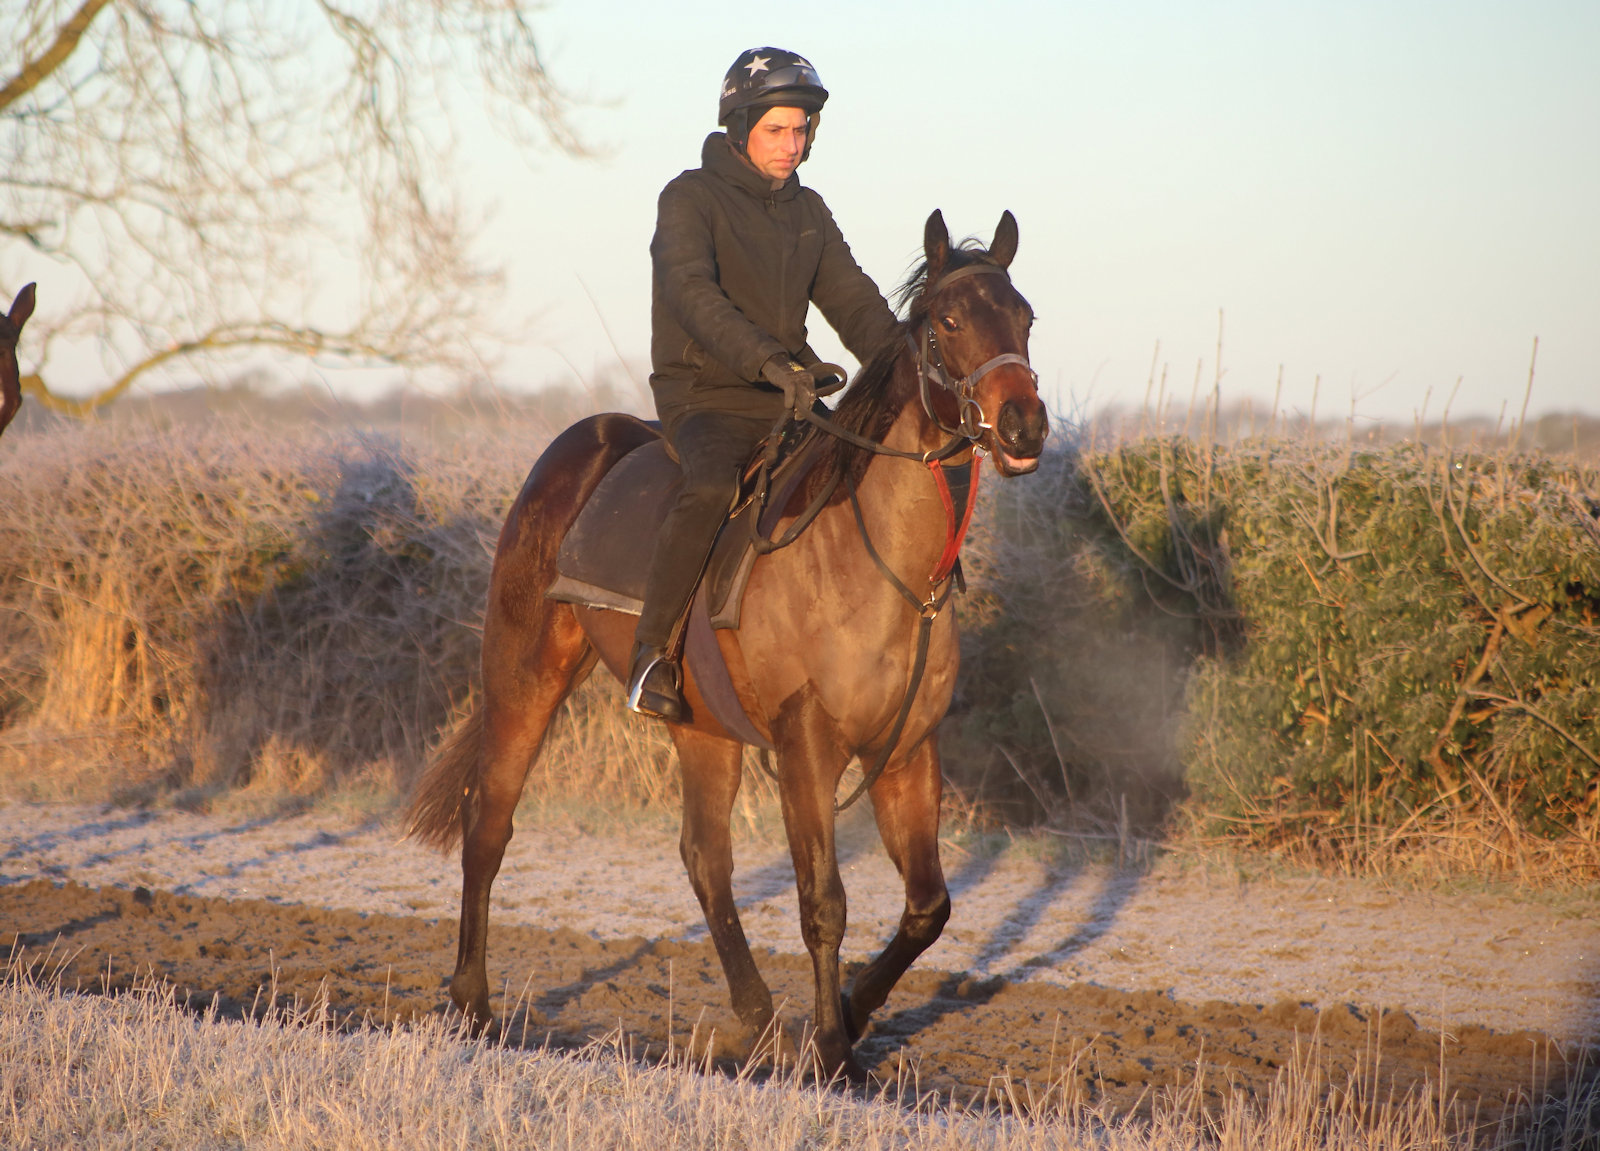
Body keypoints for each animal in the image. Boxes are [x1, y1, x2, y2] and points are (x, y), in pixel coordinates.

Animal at [406, 209, 1048, 1082]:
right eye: (948, 322)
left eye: (1024, 318)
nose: (1024, 426)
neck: (873, 561)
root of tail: (578, 447)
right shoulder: (807, 745)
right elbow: (823, 902)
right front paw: (834, 1053)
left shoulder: (908, 751)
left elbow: (928, 907)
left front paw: (849, 1015)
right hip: (523, 678)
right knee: (489, 822)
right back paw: (472, 1003)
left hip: (701, 727)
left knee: (704, 859)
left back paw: (758, 1018)